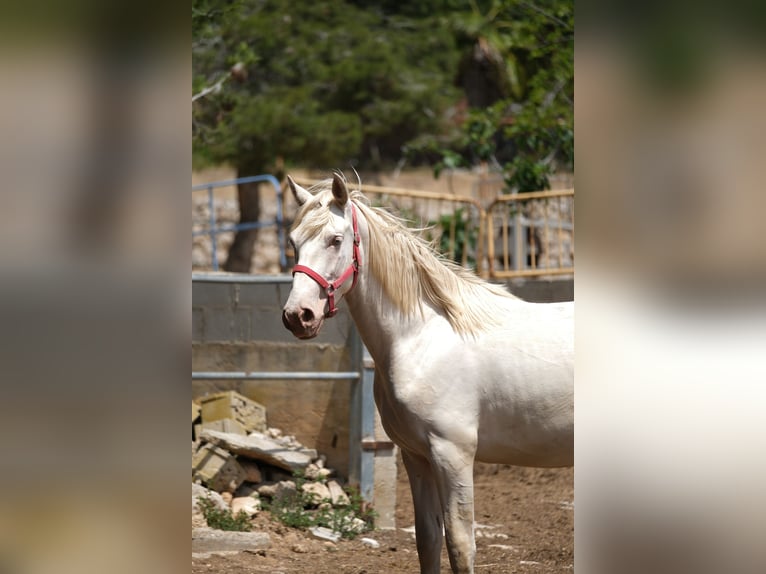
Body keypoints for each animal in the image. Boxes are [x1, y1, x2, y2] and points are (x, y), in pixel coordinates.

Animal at [284, 173, 572, 572]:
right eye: (293, 242)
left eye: (335, 240)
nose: (298, 316)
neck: (423, 336)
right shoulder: (416, 456)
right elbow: (428, 540)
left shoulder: (453, 455)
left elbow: (460, 544)